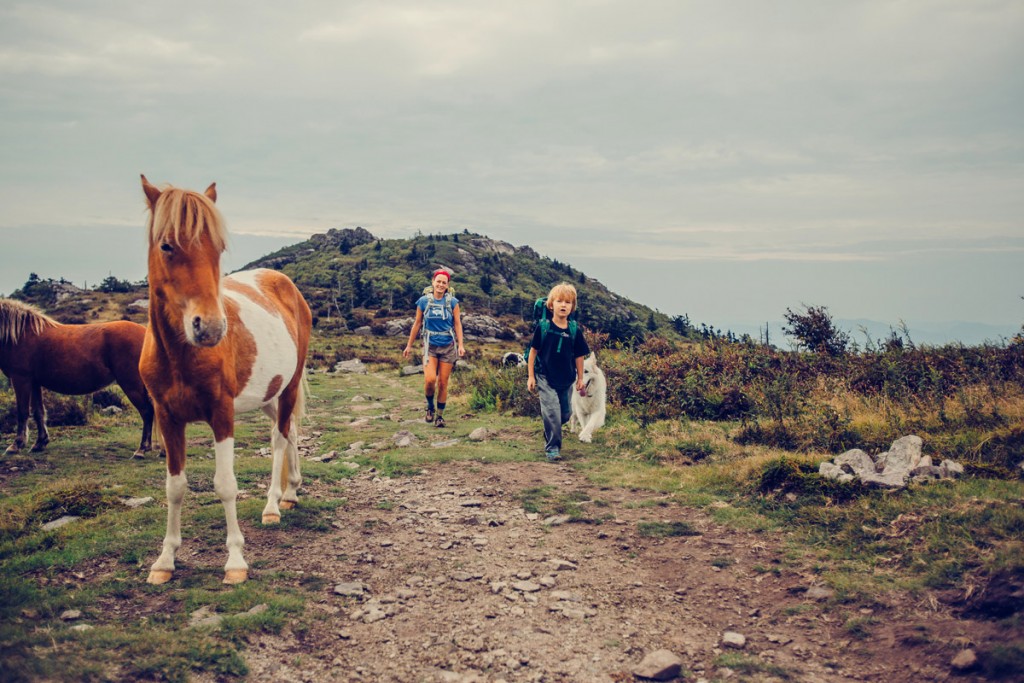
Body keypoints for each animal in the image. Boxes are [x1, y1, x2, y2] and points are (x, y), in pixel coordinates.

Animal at [0, 301, 153, 456]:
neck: (20, 334)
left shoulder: (21, 379)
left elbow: (22, 411)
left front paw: (16, 445)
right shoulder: (34, 383)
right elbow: (39, 412)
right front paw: (40, 443)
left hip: (131, 384)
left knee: (146, 411)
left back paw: (142, 449)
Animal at [139, 174, 311, 585]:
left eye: (217, 246)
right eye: (166, 245)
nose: (212, 328)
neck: (180, 355)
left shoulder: (222, 413)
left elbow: (225, 485)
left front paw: (235, 561)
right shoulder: (167, 417)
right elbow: (175, 487)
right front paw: (165, 560)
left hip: (288, 387)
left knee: (280, 439)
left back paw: (273, 504)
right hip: (269, 395)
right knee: (290, 434)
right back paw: (291, 492)